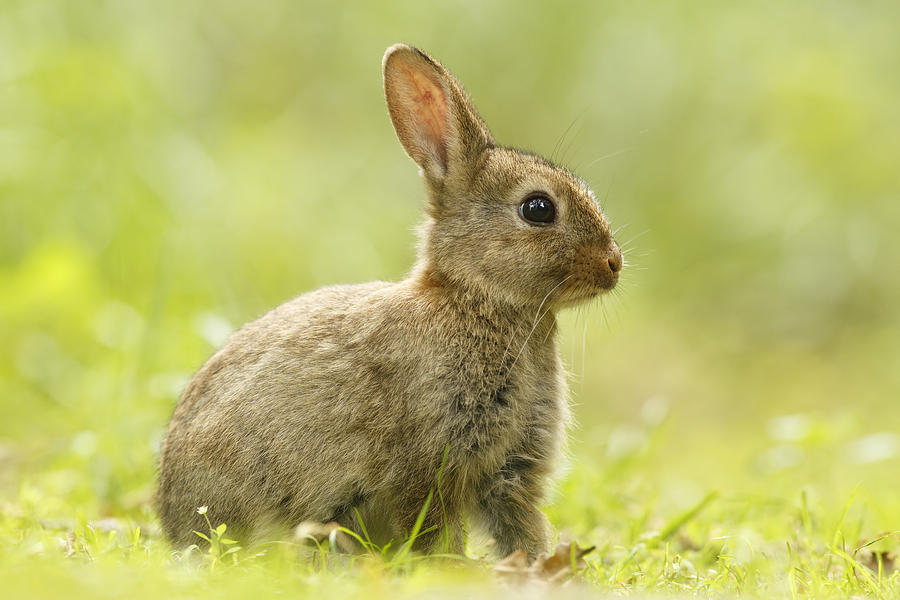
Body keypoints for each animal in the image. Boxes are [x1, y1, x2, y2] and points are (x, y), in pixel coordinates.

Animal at [156, 41, 620, 556]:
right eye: (538, 209)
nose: (614, 263)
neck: (477, 300)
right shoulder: (429, 460)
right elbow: (433, 526)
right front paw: (450, 566)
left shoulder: (513, 466)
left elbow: (521, 524)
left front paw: (534, 563)